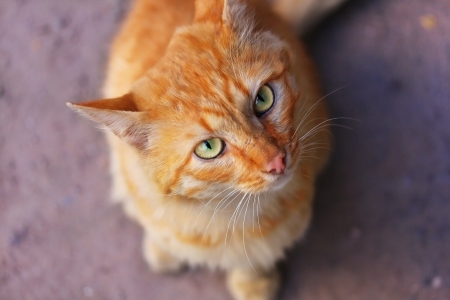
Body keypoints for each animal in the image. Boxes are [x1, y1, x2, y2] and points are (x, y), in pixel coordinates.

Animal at [67, 0, 344, 300]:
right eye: (209, 147)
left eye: (263, 98)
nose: (277, 162)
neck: (223, 209)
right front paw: (163, 249)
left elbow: (257, 254)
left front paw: (253, 282)